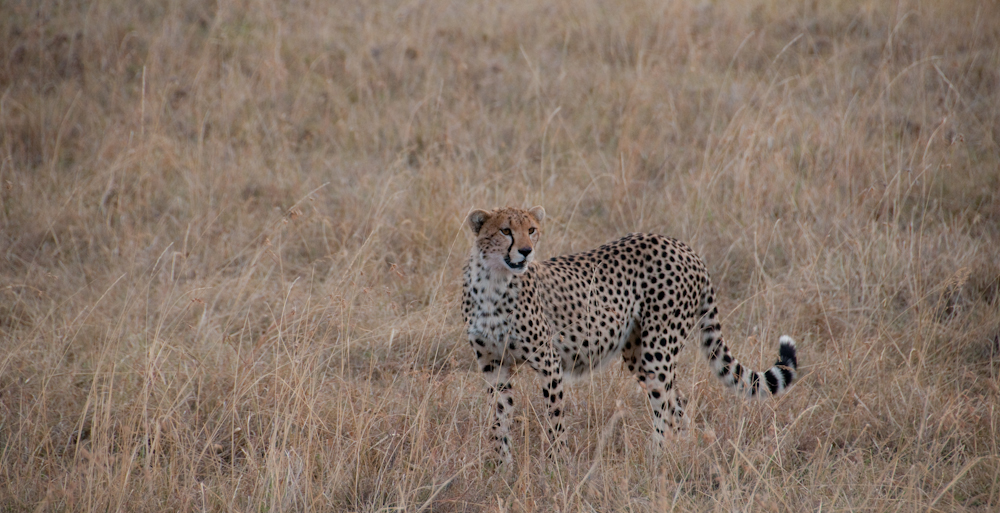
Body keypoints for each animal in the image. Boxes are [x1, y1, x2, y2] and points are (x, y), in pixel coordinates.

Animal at [460, 206, 796, 462]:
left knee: (665, 405)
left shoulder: (548, 362)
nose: (526, 251)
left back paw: (657, 457)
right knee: (679, 401)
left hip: (658, 348)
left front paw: (558, 463)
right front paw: (501, 467)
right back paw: (683, 449)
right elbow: (499, 419)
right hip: (637, 352)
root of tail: (682, 246)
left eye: (531, 229)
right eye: (505, 230)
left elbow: (554, 418)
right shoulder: (493, 366)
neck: (493, 281)